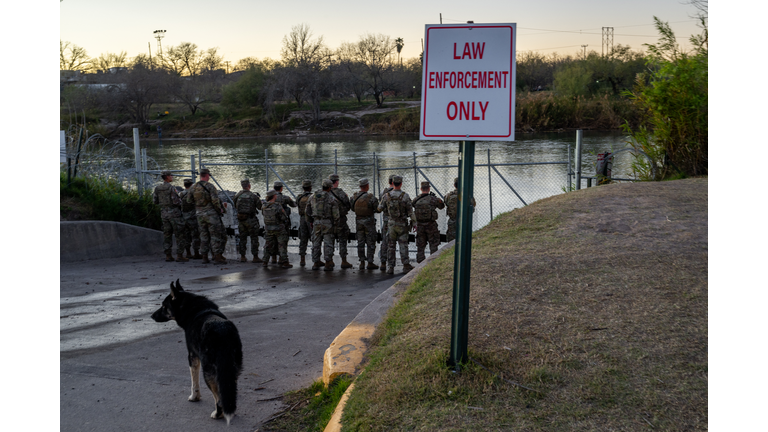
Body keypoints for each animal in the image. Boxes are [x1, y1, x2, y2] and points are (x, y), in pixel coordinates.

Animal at [151, 280, 243, 426]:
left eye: (164, 306)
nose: (152, 316)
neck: (192, 308)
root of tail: (223, 332)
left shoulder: (192, 356)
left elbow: (194, 382)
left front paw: (194, 397)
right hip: (233, 368)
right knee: (228, 391)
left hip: (209, 372)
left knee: (218, 399)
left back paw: (218, 414)